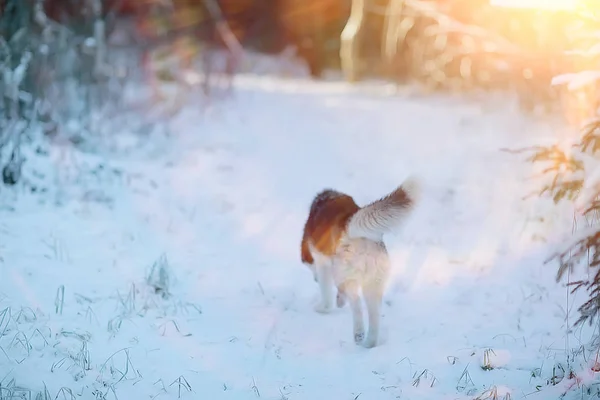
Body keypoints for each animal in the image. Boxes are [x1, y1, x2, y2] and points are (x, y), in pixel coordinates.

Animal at [298, 177, 418, 348]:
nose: (314, 279)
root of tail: (352, 229)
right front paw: (339, 300)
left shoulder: (323, 264)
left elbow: (327, 298)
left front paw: (324, 307)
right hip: (373, 282)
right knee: (373, 317)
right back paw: (368, 343)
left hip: (349, 276)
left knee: (357, 306)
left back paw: (358, 334)